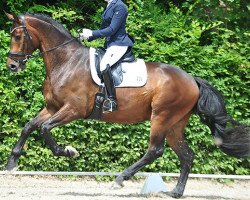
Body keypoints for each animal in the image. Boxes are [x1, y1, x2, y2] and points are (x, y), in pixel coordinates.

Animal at [4, 12, 249, 198]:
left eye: (17, 35)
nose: (12, 66)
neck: (66, 62)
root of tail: (192, 79)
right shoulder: (53, 108)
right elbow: (29, 126)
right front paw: (11, 165)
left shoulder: (73, 110)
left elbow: (44, 130)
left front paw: (69, 151)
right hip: (175, 124)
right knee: (186, 155)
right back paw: (176, 192)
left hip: (162, 117)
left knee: (155, 150)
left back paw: (120, 179)